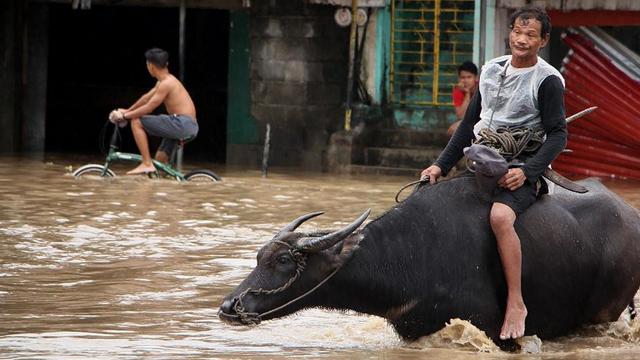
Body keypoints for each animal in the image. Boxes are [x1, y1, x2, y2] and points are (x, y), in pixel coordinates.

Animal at [219, 176, 640, 344]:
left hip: (605, 310)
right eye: (259, 257)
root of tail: (630, 214)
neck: (411, 255)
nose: (229, 306)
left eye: (284, 261)